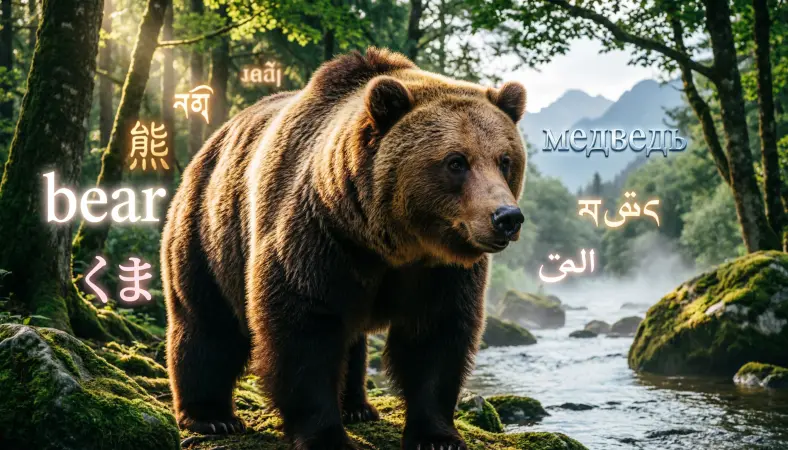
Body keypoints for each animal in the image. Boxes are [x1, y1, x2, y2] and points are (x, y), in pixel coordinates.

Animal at [161, 47, 527, 449]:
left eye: (505, 160)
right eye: (456, 161)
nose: (507, 217)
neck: (388, 242)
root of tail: (210, 143)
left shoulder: (440, 269)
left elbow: (436, 335)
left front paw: (437, 435)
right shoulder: (317, 238)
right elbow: (303, 332)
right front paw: (325, 435)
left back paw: (357, 407)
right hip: (208, 233)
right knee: (207, 324)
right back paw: (211, 417)